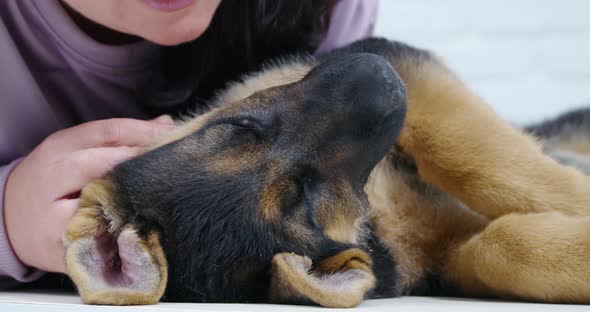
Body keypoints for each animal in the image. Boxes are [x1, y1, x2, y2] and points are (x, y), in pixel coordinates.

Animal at [61, 37, 590, 306]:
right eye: (309, 202)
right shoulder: (442, 258)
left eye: (238, 126)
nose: (378, 74)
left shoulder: (416, 74)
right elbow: (499, 246)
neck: (378, 214)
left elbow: (472, 155)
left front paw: (577, 195)